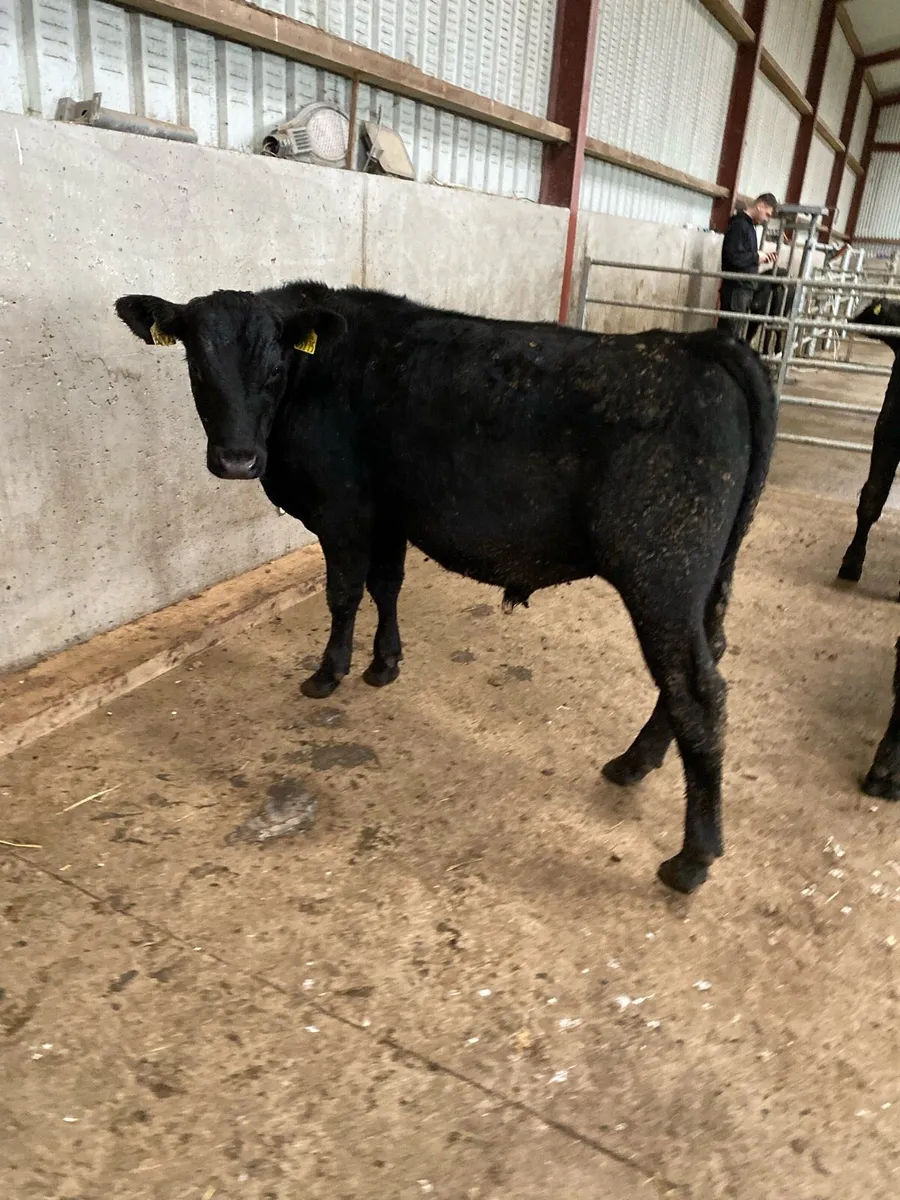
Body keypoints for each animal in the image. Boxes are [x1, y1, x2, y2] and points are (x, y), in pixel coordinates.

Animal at [115, 281, 776, 893]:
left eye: (275, 369)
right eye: (197, 368)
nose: (236, 460)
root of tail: (698, 345)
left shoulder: (342, 509)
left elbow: (343, 592)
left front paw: (328, 673)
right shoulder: (389, 513)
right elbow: (386, 585)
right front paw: (384, 664)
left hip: (661, 571)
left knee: (697, 690)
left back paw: (692, 857)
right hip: (705, 577)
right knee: (707, 658)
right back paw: (635, 762)